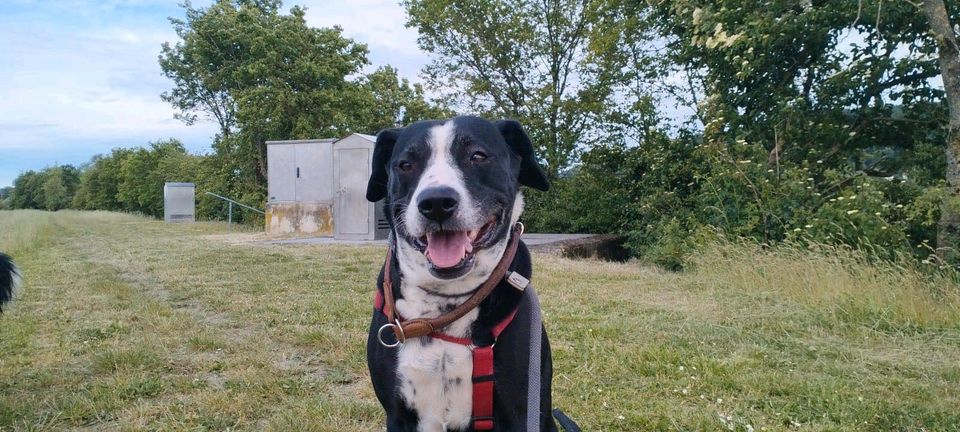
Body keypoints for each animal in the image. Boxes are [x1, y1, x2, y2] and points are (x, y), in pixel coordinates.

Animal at [366, 116, 564, 430]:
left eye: (478, 156)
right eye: (405, 164)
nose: (436, 203)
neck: (447, 307)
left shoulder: (520, 410)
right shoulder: (397, 414)